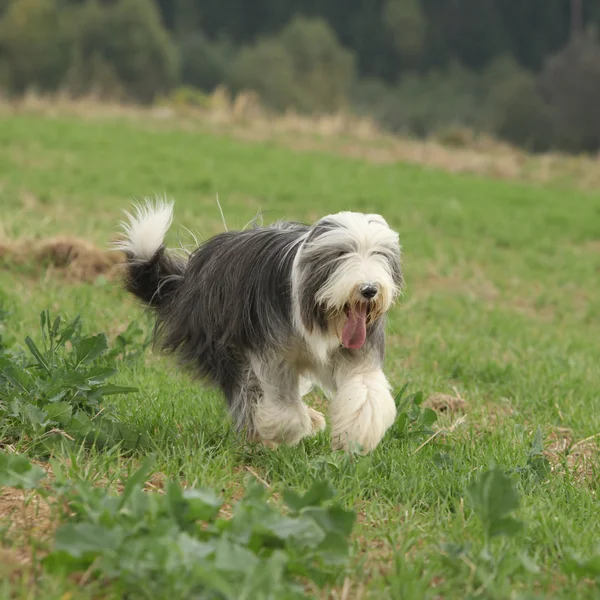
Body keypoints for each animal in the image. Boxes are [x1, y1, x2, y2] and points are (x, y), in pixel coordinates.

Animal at [113, 199, 404, 452]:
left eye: (379, 254)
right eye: (342, 253)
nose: (369, 290)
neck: (316, 311)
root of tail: (189, 278)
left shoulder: (354, 349)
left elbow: (365, 389)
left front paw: (357, 435)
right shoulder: (272, 350)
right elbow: (280, 399)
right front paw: (284, 427)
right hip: (221, 342)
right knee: (244, 388)